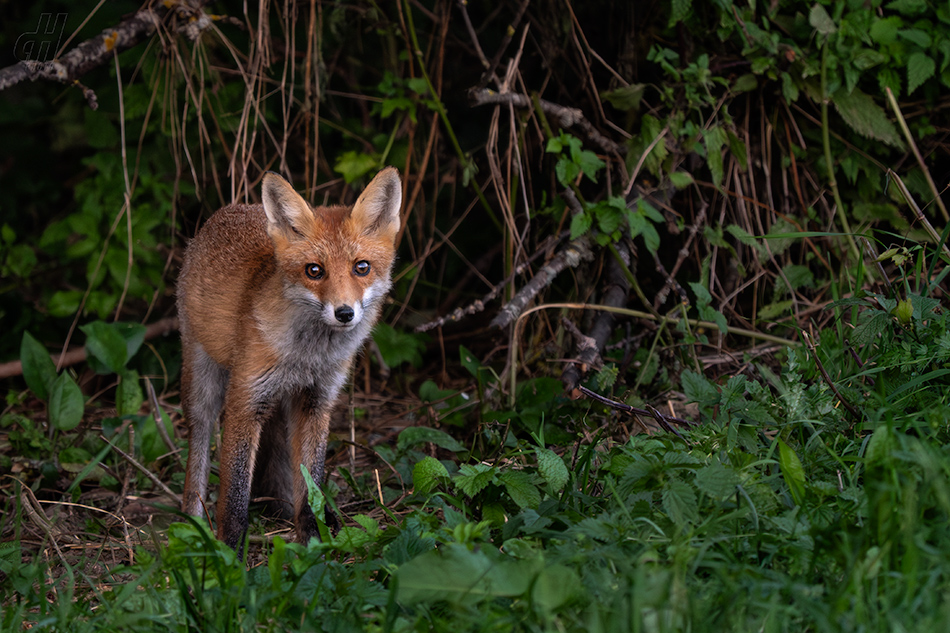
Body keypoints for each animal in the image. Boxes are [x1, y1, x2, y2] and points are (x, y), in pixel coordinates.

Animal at [178, 167, 402, 548]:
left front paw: (313, 539)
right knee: (199, 443)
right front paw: (229, 553)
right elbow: (234, 496)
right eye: (314, 270)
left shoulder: (317, 400)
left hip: (281, 406)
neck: (306, 357)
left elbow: (311, 482)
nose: (344, 313)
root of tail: (229, 210)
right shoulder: (245, 399)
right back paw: (191, 522)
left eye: (361, 267)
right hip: (203, 382)